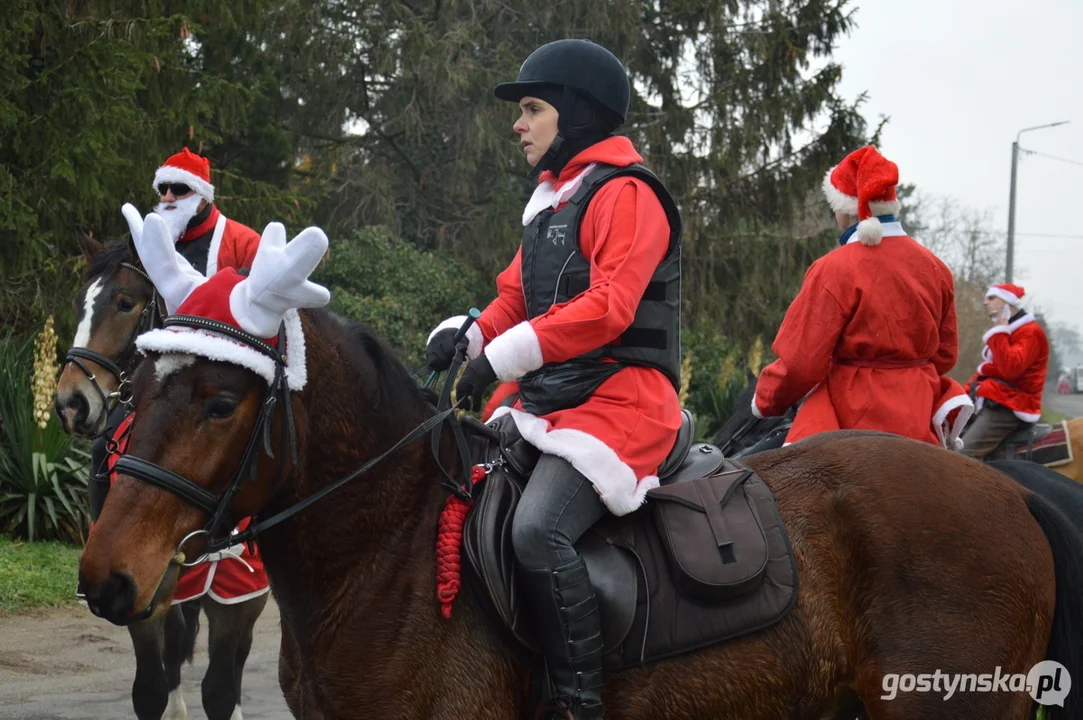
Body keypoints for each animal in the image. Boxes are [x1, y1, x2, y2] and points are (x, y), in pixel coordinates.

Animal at [59, 228, 270, 718]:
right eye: (80, 303)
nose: (70, 403)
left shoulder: (240, 595)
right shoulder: (136, 587)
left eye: (125, 302)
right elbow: (152, 687)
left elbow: (221, 688)